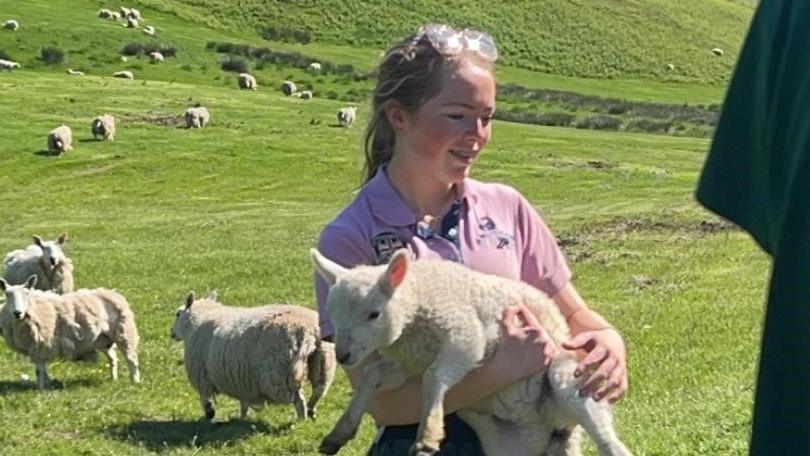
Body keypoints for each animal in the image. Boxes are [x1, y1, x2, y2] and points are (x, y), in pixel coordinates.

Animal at [0, 276, 140, 390]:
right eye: (7, 294)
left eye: (26, 293)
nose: (17, 313)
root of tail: (113, 293)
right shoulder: (35, 348)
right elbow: (42, 370)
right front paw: (48, 384)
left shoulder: (40, 345)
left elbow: (39, 371)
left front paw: (41, 389)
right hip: (102, 339)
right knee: (113, 358)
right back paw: (113, 379)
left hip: (124, 333)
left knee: (132, 358)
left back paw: (135, 381)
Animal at [170, 292, 334, 420]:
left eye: (177, 313)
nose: (171, 334)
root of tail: (311, 329)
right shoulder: (241, 379)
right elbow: (244, 403)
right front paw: (242, 418)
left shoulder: (202, 375)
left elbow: (205, 398)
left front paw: (210, 413)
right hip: (323, 361)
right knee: (318, 390)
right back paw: (311, 412)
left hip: (282, 373)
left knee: (299, 399)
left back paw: (300, 420)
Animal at [310, 249, 632, 456]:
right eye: (331, 314)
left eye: (373, 314)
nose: (343, 356)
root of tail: (557, 429)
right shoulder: (407, 364)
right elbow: (372, 374)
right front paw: (339, 433)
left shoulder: (467, 337)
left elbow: (434, 376)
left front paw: (428, 434)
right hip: (505, 443)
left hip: (568, 379)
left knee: (610, 445)